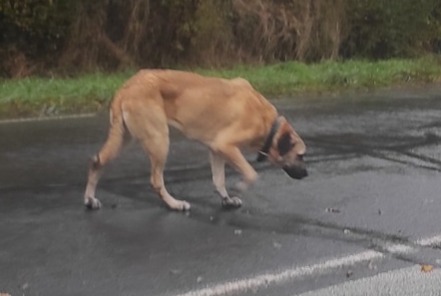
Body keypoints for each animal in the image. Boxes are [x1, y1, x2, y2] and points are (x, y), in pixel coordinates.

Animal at [84, 69, 308, 210]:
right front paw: (241, 186)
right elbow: (251, 173)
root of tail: (126, 87)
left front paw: (227, 200)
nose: (307, 174)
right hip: (159, 141)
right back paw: (174, 204)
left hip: (123, 138)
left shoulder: (216, 149)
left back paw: (90, 199)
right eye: (300, 155)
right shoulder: (226, 146)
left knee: (97, 161)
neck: (269, 124)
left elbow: (218, 180)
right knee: (156, 181)